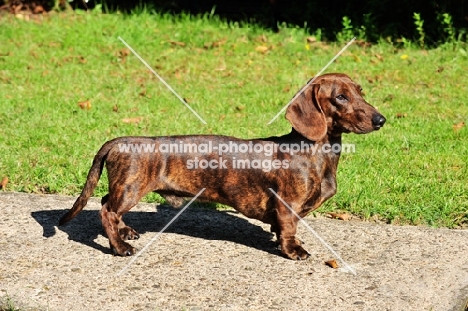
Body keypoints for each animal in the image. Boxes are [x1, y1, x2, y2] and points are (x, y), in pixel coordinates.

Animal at [58, 73, 386, 260]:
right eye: (340, 96)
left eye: (361, 91)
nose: (381, 120)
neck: (315, 150)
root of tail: (118, 141)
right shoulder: (287, 204)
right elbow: (288, 229)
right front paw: (293, 250)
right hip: (131, 188)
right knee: (106, 210)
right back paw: (119, 246)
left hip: (125, 188)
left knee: (108, 205)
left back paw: (125, 231)